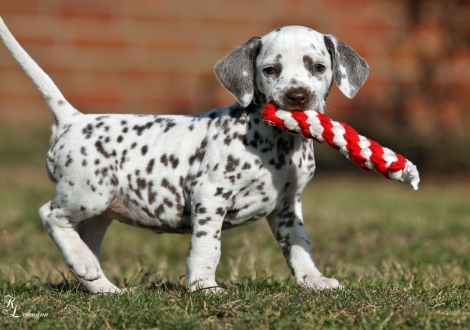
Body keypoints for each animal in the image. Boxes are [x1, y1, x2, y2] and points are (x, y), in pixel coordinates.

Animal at [0, 19, 368, 292]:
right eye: (270, 70)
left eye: (317, 67)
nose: (297, 96)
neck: (277, 143)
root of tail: (73, 119)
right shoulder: (210, 196)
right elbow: (208, 247)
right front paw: (204, 286)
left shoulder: (288, 206)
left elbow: (299, 246)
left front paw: (314, 280)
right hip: (86, 195)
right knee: (49, 214)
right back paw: (83, 263)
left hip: (100, 210)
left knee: (84, 240)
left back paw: (99, 282)